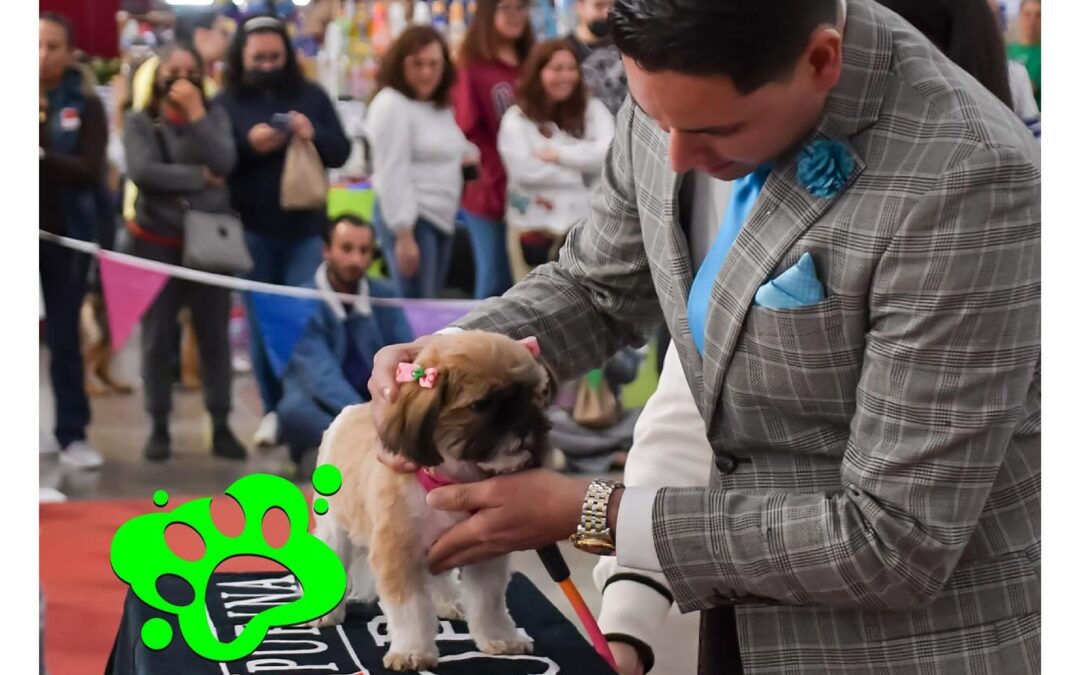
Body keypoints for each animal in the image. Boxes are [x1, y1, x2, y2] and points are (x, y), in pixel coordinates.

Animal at [308, 330, 552, 669]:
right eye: (482, 405)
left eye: (533, 396)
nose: (525, 424)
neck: (452, 478)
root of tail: (351, 413)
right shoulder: (399, 553)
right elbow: (411, 611)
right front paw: (412, 651)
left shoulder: (483, 550)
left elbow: (488, 603)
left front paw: (500, 637)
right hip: (335, 528)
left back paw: (449, 601)